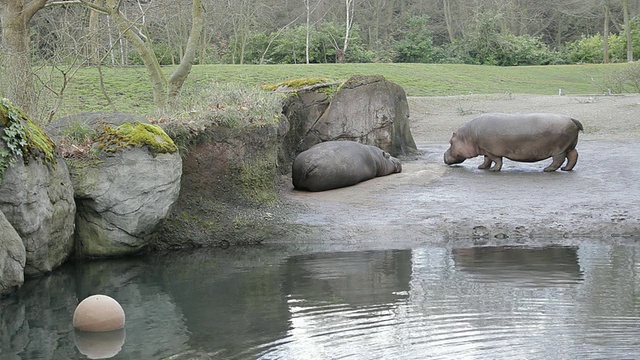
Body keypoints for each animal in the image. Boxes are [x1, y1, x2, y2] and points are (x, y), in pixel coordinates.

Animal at [442, 114, 584, 173]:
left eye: (450, 142)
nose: (443, 155)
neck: (468, 137)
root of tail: (572, 119)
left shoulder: (491, 151)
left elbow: (496, 160)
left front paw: (493, 170)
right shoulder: (485, 150)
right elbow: (486, 160)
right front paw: (481, 168)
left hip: (559, 149)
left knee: (558, 160)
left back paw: (547, 169)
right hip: (569, 146)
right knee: (573, 156)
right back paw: (566, 169)